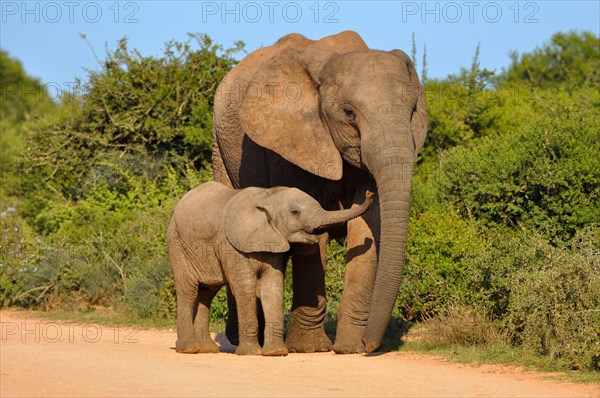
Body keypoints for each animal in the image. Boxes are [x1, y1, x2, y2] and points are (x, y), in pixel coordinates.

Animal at [165, 182, 370, 356]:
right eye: (295, 212)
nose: (370, 193)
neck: (268, 196)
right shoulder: (231, 245)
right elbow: (245, 286)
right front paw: (251, 353)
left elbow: (272, 286)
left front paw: (276, 353)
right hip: (178, 244)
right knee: (188, 291)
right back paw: (189, 349)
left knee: (206, 293)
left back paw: (207, 350)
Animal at [211, 31, 426, 354]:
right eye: (349, 113)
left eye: (412, 111)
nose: (371, 344)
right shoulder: (289, 143)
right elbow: (308, 230)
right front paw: (310, 348)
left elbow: (368, 226)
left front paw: (351, 348)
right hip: (219, 146)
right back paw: (240, 340)